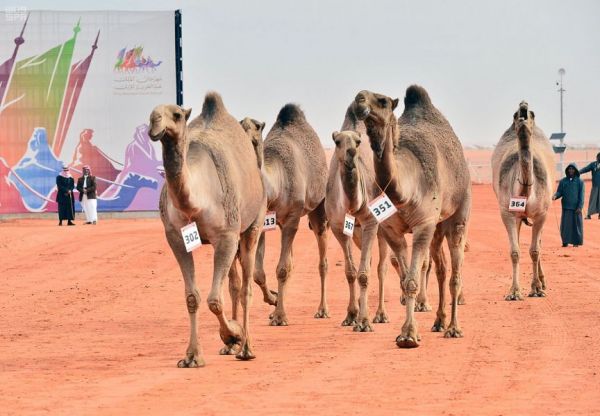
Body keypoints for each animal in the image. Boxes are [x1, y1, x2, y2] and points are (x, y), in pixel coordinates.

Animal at [149, 92, 266, 366]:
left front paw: (234, 334)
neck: (197, 202)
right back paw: (232, 346)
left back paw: (246, 347)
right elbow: (193, 297)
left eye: (176, 114)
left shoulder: (227, 236)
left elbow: (215, 300)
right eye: (151, 113)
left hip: (252, 225)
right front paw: (192, 356)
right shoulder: (176, 238)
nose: (154, 122)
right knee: (234, 284)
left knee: (245, 288)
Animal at [248, 104, 330, 324]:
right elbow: (258, 272)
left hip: (318, 207)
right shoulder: (264, 221)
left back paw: (322, 310)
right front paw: (274, 301)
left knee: (322, 261)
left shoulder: (293, 217)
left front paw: (279, 317)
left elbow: (283, 269)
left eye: (256, 131)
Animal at [352, 85, 474, 348]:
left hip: (459, 212)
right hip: (438, 227)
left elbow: (412, 281)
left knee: (455, 274)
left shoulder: (423, 224)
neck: (404, 192)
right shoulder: (390, 230)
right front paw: (407, 332)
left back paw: (453, 328)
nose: (359, 99)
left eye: (383, 101)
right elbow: (405, 278)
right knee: (441, 269)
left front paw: (409, 335)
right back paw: (439, 321)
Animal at [492, 102, 552, 300]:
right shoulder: (508, 212)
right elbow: (514, 251)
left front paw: (537, 289)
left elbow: (534, 250)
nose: (523, 104)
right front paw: (514, 292)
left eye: (532, 114)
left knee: (538, 244)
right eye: (514, 114)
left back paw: (543, 281)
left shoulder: (542, 213)